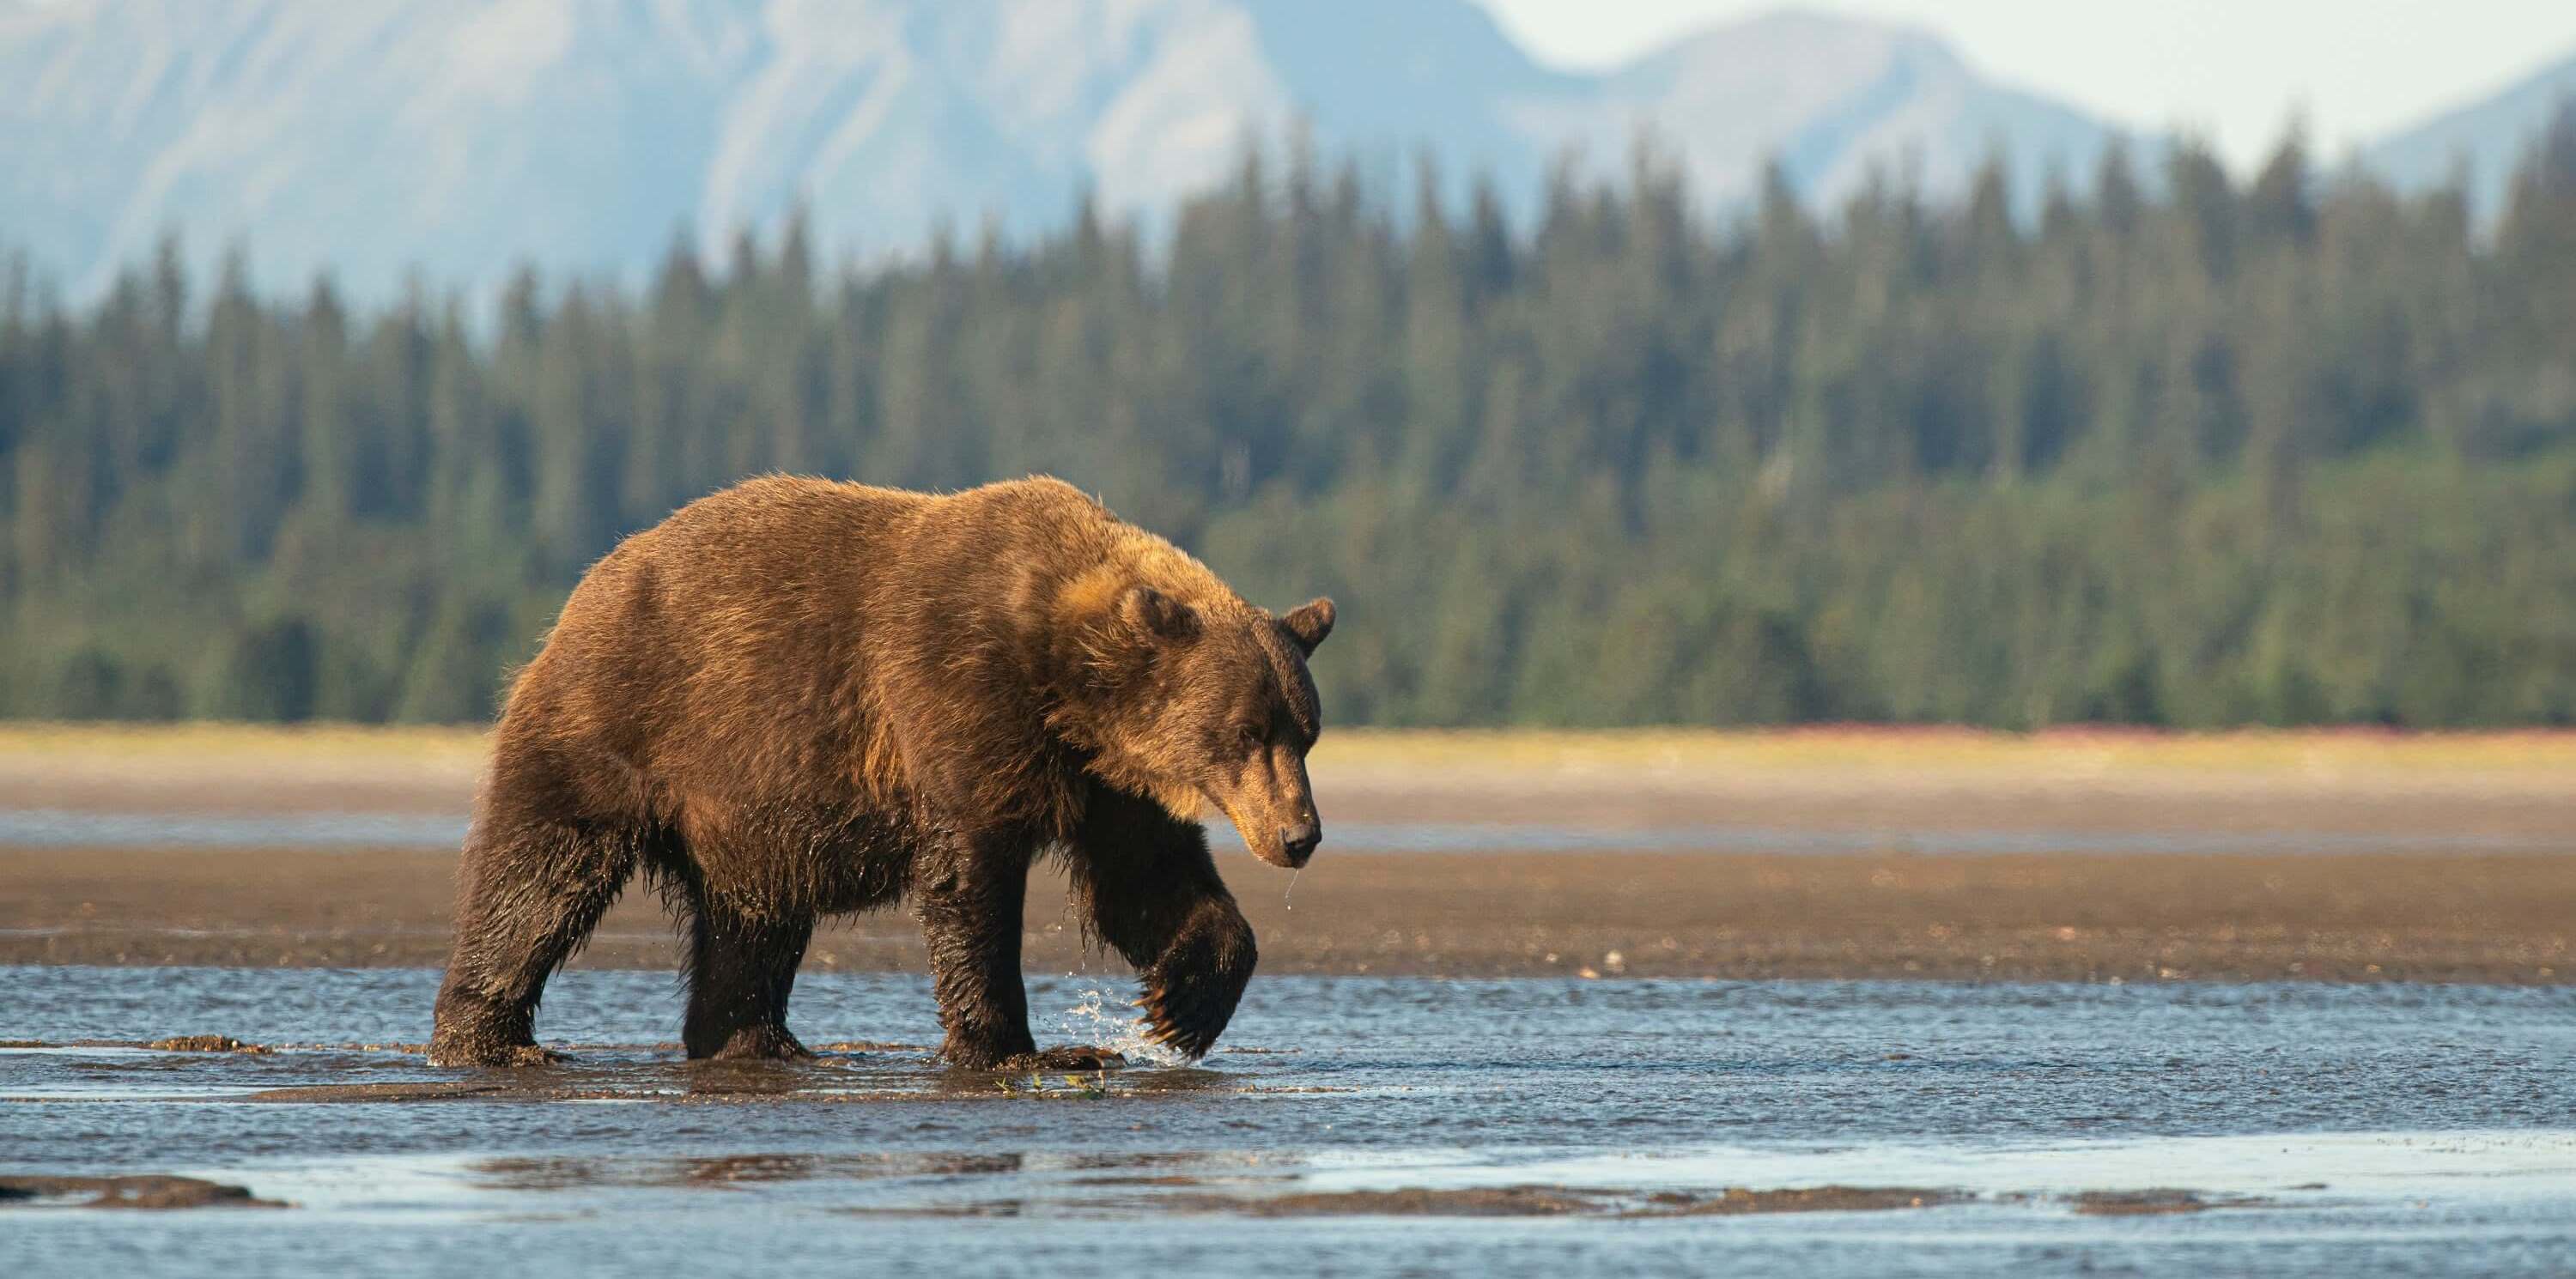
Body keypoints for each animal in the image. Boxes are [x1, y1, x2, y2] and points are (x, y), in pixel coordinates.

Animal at [427, 475, 1334, 1069]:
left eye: (1306, 732)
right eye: (1245, 731)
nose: (1300, 835)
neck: (1063, 678)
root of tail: (591, 584)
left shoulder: (1105, 778)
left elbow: (1145, 880)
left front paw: (1179, 1005)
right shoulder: (956, 698)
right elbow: (970, 880)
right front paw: (1018, 1047)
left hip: (748, 813)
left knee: (752, 923)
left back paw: (756, 1040)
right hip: (623, 723)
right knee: (538, 876)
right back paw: (491, 1040)